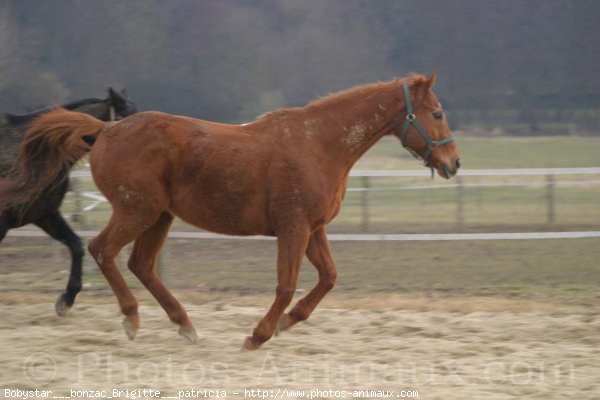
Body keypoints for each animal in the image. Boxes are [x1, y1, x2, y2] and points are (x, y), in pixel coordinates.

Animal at [17, 73, 460, 348]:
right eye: (437, 113)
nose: (453, 163)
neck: (318, 144)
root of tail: (105, 130)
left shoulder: (313, 228)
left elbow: (329, 278)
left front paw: (288, 322)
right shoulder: (293, 227)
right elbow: (286, 285)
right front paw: (258, 336)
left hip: (160, 216)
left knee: (140, 264)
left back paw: (186, 326)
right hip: (136, 211)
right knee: (102, 251)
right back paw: (130, 318)